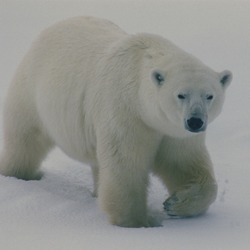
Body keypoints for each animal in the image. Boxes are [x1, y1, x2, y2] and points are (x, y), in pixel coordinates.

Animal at [0, 15, 231, 227]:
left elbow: (183, 164)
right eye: (181, 95)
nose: (195, 121)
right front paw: (135, 222)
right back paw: (20, 174)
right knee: (25, 140)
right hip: (31, 91)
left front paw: (175, 204)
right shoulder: (126, 112)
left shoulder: (174, 132)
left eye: (209, 96)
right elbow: (125, 166)